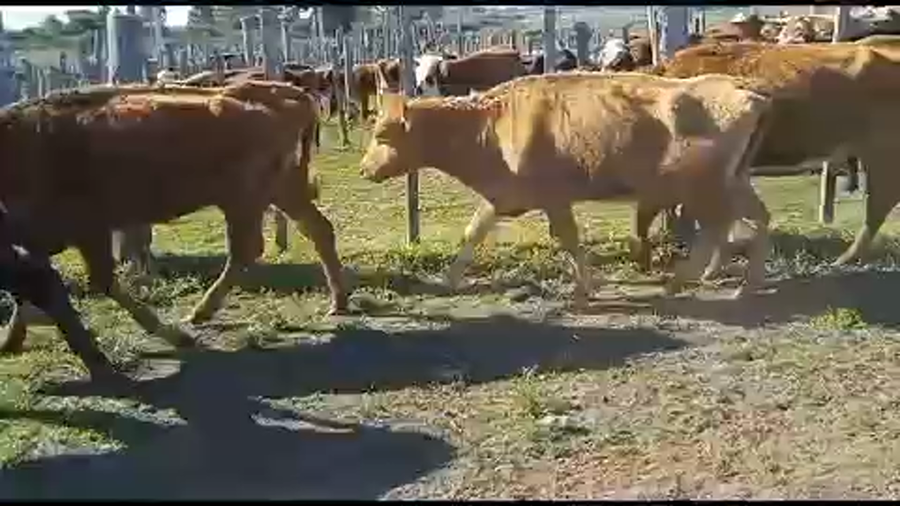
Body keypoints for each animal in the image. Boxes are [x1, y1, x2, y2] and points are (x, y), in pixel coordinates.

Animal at [0, 81, 348, 356]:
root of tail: (287, 94)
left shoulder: (88, 230)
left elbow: (101, 281)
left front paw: (173, 335)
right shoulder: (38, 243)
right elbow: (30, 290)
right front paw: (10, 341)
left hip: (244, 200)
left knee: (247, 250)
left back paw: (199, 314)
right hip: (280, 192)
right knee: (316, 230)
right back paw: (338, 303)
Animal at [359, 72, 773, 307]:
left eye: (382, 134)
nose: (364, 169)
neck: (493, 124)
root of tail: (746, 91)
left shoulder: (554, 199)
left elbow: (570, 240)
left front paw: (584, 289)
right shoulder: (504, 196)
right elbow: (474, 232)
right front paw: (448, 280)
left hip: (704, 188)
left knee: (719, 228)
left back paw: (684, 281)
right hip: (734, 180)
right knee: (757, 219)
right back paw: (742, 284)